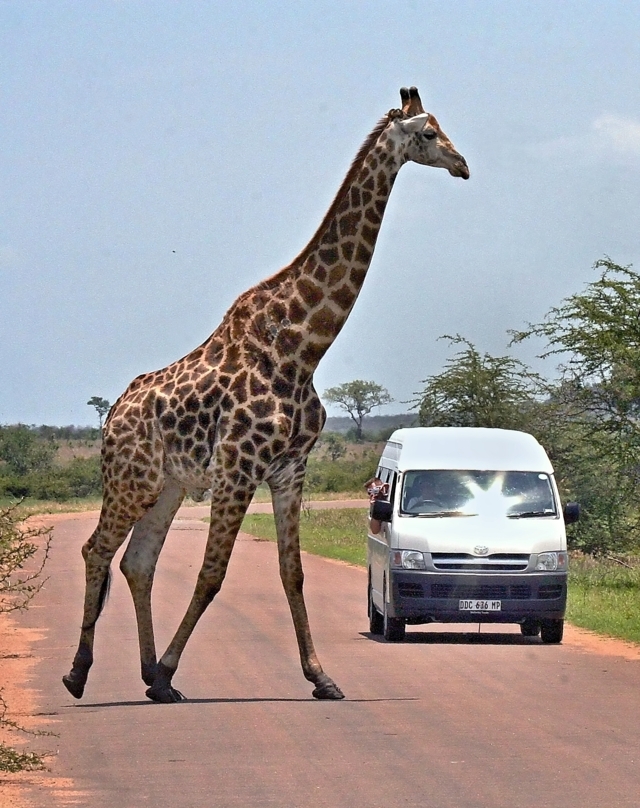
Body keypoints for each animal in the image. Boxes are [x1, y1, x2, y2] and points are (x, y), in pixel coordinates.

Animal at [62, 83, 468, 700]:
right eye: (427, 133)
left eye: (443, 129)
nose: (463, 165)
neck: (302, 348)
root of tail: (113, 415)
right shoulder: (238, 468)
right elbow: (212, 574)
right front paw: (172, 667)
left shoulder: (288, 468)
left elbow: (291, 572)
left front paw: (322, 677)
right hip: (132, 479)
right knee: (96, 550)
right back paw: (80, 673)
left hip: (169, 487)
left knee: (137, 562)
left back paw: (150, 677)